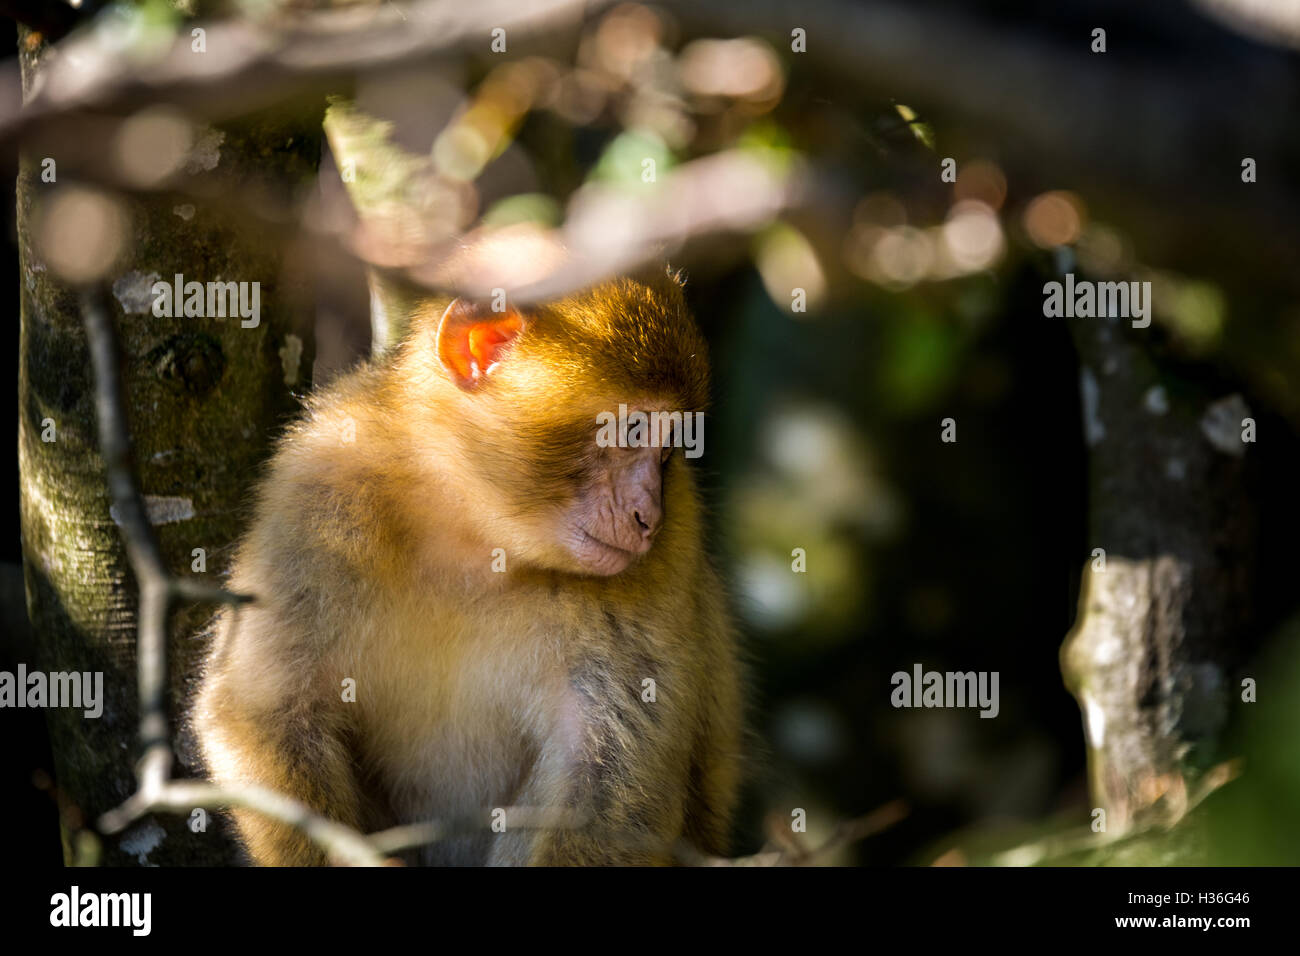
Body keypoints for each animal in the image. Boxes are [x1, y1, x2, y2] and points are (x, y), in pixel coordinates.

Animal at [189, 264, 748, 868]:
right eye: (635, 431)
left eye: (669, 450)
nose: (649, 516)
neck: (475, 539)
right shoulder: (318, 494)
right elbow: (266, 713)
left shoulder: (673, 545)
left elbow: (608, 779)